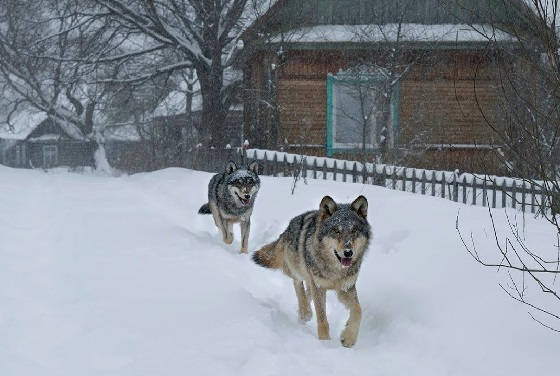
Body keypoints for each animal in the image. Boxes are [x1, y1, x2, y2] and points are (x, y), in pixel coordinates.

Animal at [254, 195, 372, 348]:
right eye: (336, 231)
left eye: (354, 230)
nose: (348, 252)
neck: (335, 270)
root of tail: (287, 228)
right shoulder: (319, 287)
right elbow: (322, 318)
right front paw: (325, 342)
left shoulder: (346, 288)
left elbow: (358, 310)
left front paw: (348, 338)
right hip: (298, 270)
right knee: (298, 285)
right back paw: (305, 312)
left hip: (312, 280)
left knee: (307, 291)